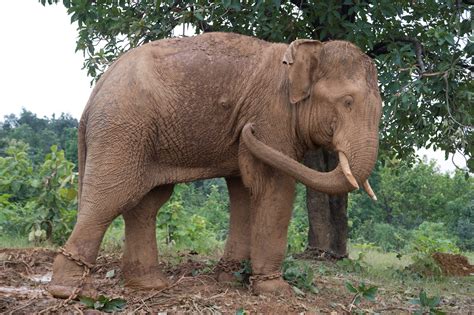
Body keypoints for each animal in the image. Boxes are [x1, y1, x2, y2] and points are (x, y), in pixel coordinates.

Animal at [48, 32, 382, 298]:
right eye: (347, 102)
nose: (246, 129)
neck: (307, 51)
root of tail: (93, 96)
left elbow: (244, 191)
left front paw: (230, 279)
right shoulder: (271, 117)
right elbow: (274, 187)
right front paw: (276, 291)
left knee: (146, 203)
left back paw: (149, 285)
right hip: (124, 129)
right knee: (111, 198)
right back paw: (69, 291)